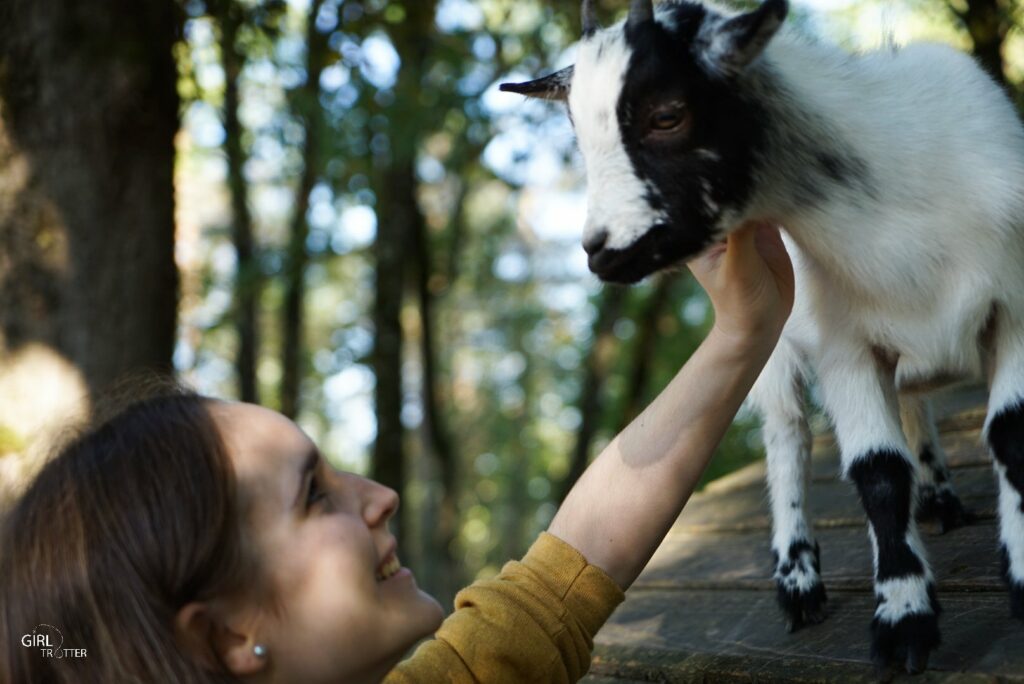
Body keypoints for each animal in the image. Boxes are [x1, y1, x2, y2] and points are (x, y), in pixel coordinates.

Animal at [501, 0, 1024, 671]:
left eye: (667, 114)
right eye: (577, 135)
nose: (601, 253)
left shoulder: (1012, 306)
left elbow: (1010, 436)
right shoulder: (843, 346)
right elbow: (878, 474)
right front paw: (904, 619)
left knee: (910, 403)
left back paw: (937, 496)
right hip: (774, 351)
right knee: (786, 436)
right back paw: (798, 577)